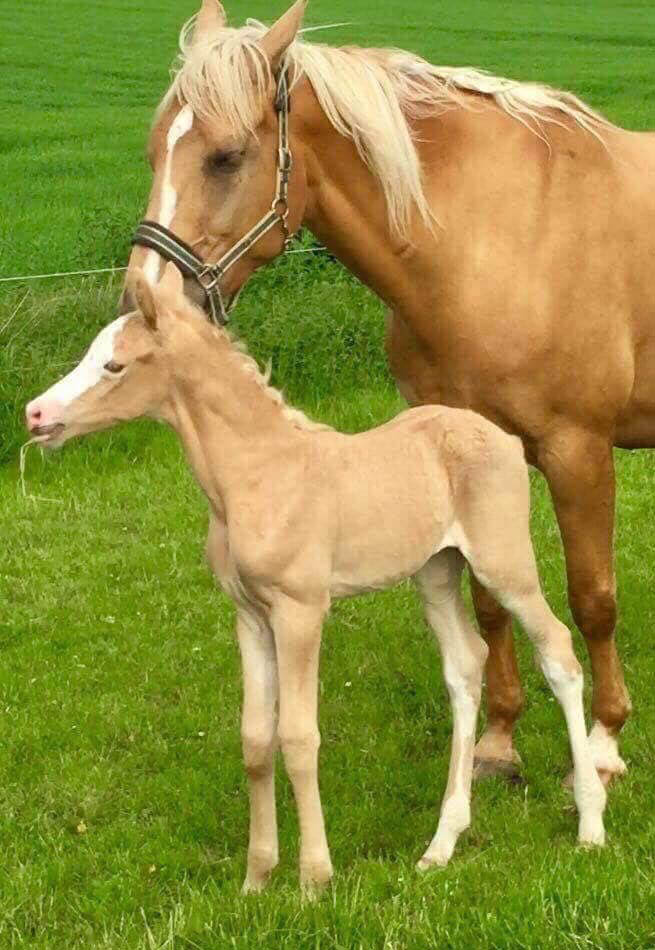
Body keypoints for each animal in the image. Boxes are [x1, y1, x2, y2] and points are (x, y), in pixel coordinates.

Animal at [28, 264, 608, 896]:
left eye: (114, 365)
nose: (35, 415)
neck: (257, 475)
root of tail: (502, 437)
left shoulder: (300, 610)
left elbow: (299, 738)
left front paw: (313, 879)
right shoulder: (250, 615)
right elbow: (256, 739)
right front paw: (257, 878)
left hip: (503, 562)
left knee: (557, 650)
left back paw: (590, 822)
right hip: (435, 572)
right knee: (465, 665)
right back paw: (441, 845)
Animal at [119, 0, 655, 784]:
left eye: (226, 156)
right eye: (156, 151)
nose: (146, 301)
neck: (494, 239)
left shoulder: (576, 450)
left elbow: (593, 600)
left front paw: (605, 742)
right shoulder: (466, 458)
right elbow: (488, 606)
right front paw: (498, 739)